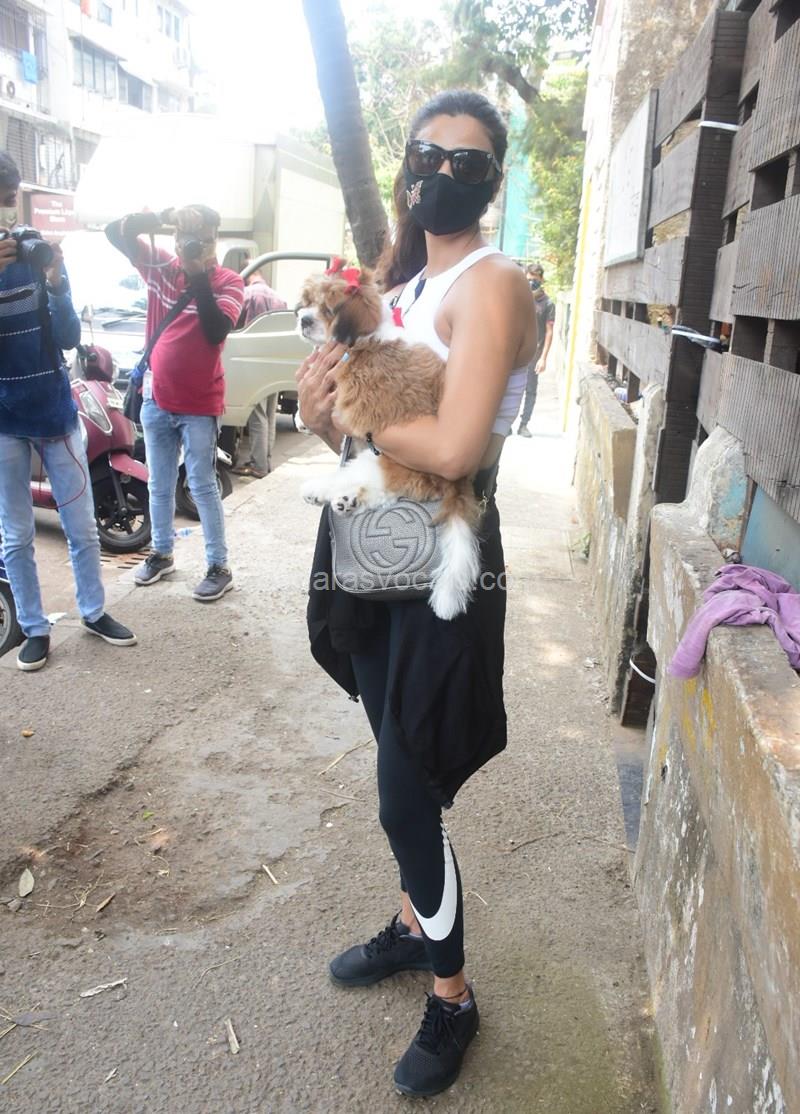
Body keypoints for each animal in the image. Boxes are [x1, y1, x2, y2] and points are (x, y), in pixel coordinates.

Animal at [297, 259, 481, 621]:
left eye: (328, 310)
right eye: (308, 302)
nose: (304, 319)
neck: (363, 339)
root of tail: (457, 484)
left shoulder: (356, 405)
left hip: (382, 459)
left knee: (356, 477)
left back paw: (322, 489)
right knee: (381, 492)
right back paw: (347, 500)